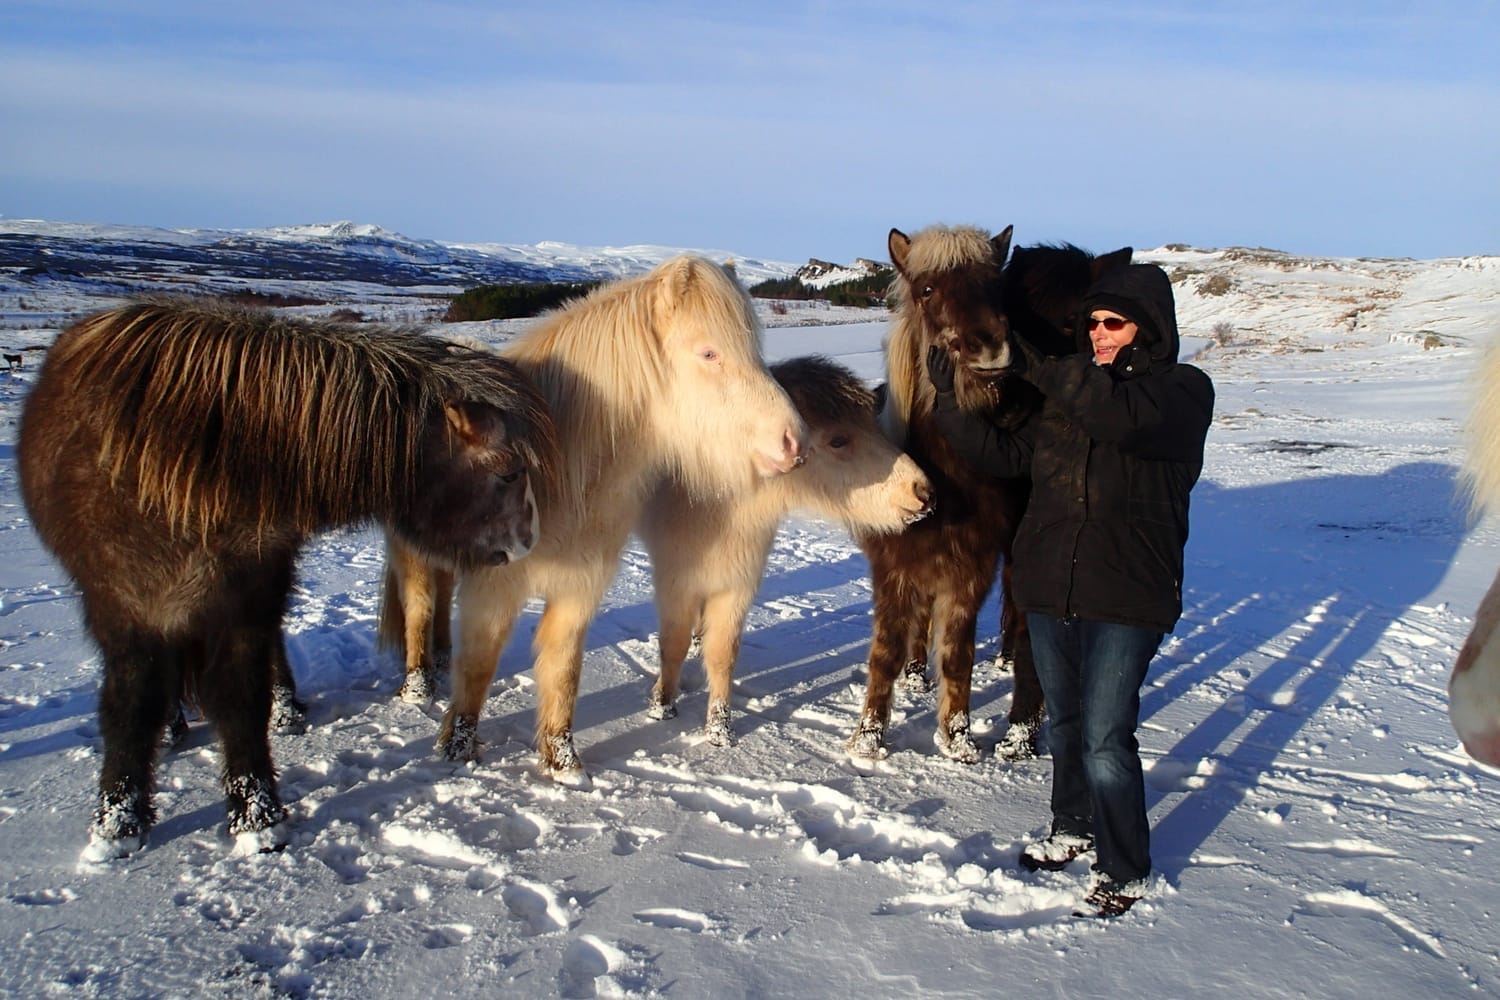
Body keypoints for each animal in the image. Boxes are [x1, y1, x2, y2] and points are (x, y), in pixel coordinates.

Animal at [17, 300, 558, 859]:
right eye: (510, 472)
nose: (529, 542)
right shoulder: (123, 604)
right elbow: (132, 702)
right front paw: (119, 823)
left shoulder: (249, 593)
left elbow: (241, 697)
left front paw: (256, 816)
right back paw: (175, 731)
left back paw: (288, 711)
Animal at [434, 256, 807, 778]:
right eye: (709, 353)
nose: (794, 442)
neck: (554, 469)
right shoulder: (492, 588)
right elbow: (478, 664)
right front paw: (457, 749)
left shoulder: (580, 587)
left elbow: (563, 667)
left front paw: (563, 761)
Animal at [638, 355, 934, 745]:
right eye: (838, 439)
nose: (922, 490)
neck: (717, 501)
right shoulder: (675, 582)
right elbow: (672, 645)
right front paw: (663, 706)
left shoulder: (739, 584)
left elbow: (723, 654)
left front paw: (720, 730)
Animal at [848, 225, 1131, 763]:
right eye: (927, 290)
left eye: (993, 287)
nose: (992, 353)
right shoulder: (894, 568)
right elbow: (886, 652)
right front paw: (868, 738)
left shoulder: (972, 568)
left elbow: (959, 655)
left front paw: (959, 738)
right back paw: (916, 675)